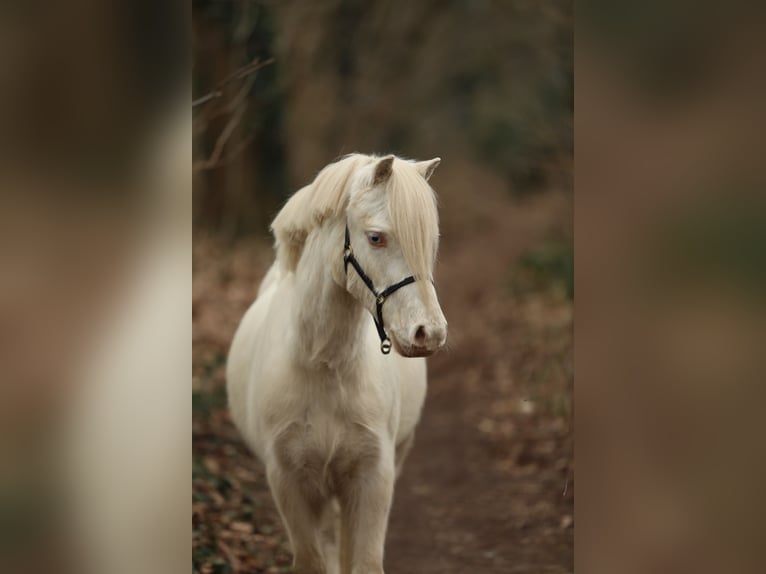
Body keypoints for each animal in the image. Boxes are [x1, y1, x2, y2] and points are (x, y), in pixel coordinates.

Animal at [225, 154, 448, 574]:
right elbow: (313, 560)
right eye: (375, 237)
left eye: (429, 241)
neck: (324, 366)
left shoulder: (373, 477)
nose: (429, 333)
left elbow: (363, 561)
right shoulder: (289, 482)